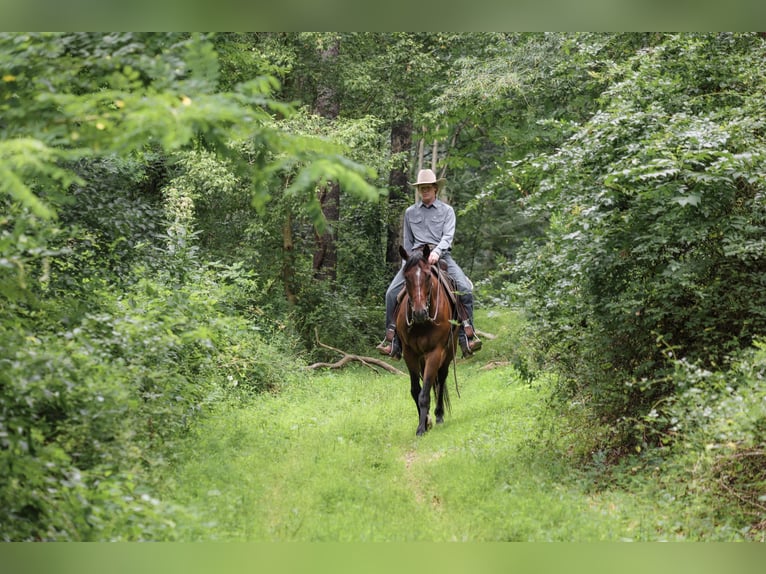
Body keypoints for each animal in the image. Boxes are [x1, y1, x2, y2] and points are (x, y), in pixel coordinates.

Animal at [395, 244, 459, 436]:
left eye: (428, 276)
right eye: (406, 277)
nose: (419, 313)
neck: (422, 324)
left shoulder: (435, 352)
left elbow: (425, 393)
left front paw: (422, 428)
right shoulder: (410, 353)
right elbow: (416, 390)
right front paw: (424, 421)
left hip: (449, 351)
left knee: (442, 378)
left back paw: (439, 415)